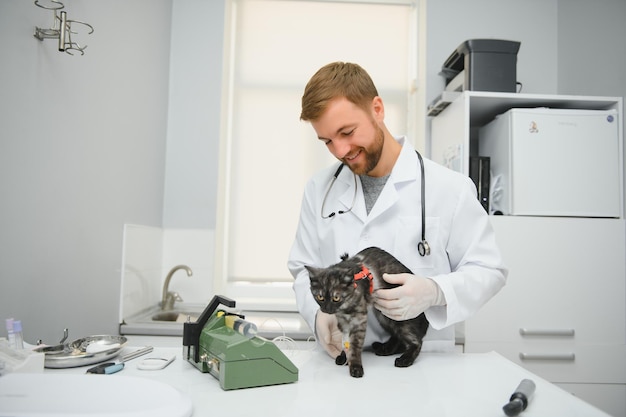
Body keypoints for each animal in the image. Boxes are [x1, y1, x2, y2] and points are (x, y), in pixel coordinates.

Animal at [308, 245, 428, 376]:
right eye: (320, 297)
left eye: (336, 298)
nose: (327, 309)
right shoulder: (343, 321)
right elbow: (345, 341)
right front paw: (344, 356)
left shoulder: (359, 320)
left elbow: (354, 344)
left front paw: (355, 366)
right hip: (384, 317)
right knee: (398, 337)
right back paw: (385, 349)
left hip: (397, 317)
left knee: (416, 341)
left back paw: (405, 359)